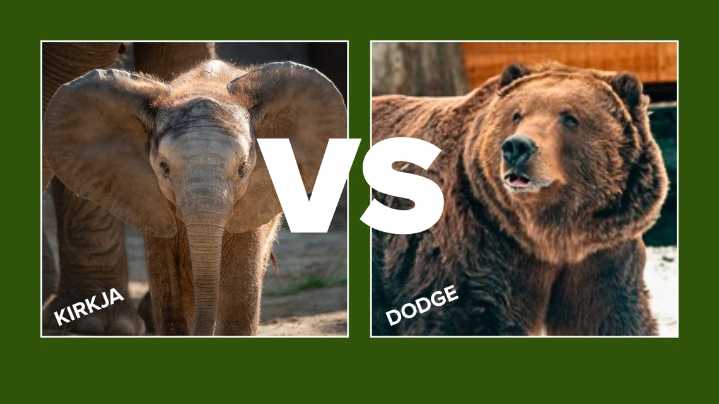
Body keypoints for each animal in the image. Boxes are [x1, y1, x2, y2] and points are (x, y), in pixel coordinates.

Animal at [371, 62, 669, 336]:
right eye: (516, 114)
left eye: (570, 118)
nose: (517, 146)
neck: (551, 237)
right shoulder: (481, 250)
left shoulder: (602, 258)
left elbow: (610, 319)